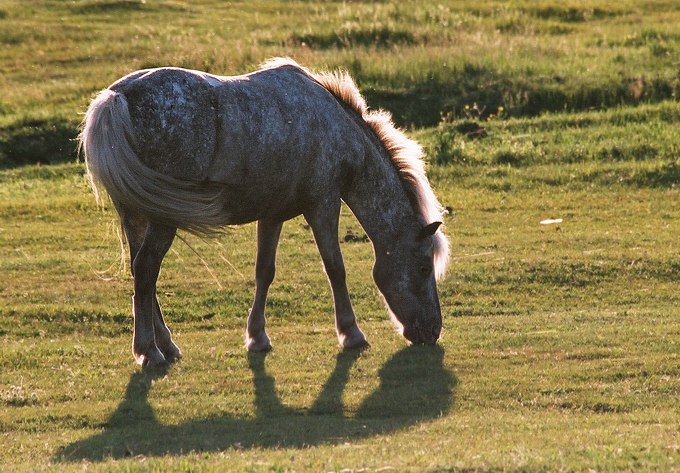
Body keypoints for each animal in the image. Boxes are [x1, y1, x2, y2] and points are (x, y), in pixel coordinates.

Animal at [79, 56, 448, 366]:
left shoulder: (272, 215)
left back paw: (166, 345)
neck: (334, 127)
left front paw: (257, 337)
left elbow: (264, 271)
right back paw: (149, 351)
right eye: (423, 268)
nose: (432, 331)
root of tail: (117, 97)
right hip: (160, 220)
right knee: (145, 270)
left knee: (142, 274)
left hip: (136, 217)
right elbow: (335, 268)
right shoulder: (323, 204)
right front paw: (351, 333)